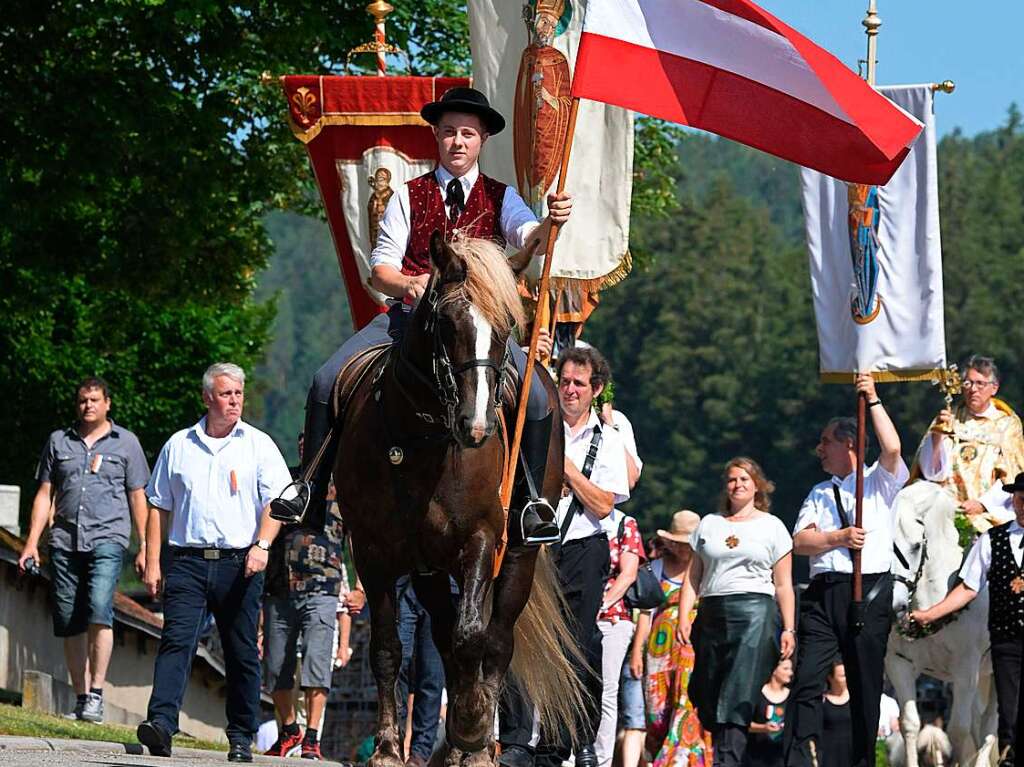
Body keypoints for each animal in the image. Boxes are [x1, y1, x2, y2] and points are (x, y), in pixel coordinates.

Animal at [331, 233, 581, 765]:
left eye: (507, 325)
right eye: (446, 323)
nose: (478, 426)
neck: (421, 444)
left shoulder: (481, 541)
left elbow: (474, 637)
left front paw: (471, 726)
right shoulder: (373, 553)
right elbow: (389, 647)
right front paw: (388, 747)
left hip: (518, 555)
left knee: (497, 638)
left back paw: (478, 744)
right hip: (426, 570)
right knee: (443, 639)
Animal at [884, 481, 995, 765]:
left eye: (915, 546)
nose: (894, 607)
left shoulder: (966, 669)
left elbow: (958, 730)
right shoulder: (899, 663)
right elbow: (910, 724)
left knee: (988, 727)